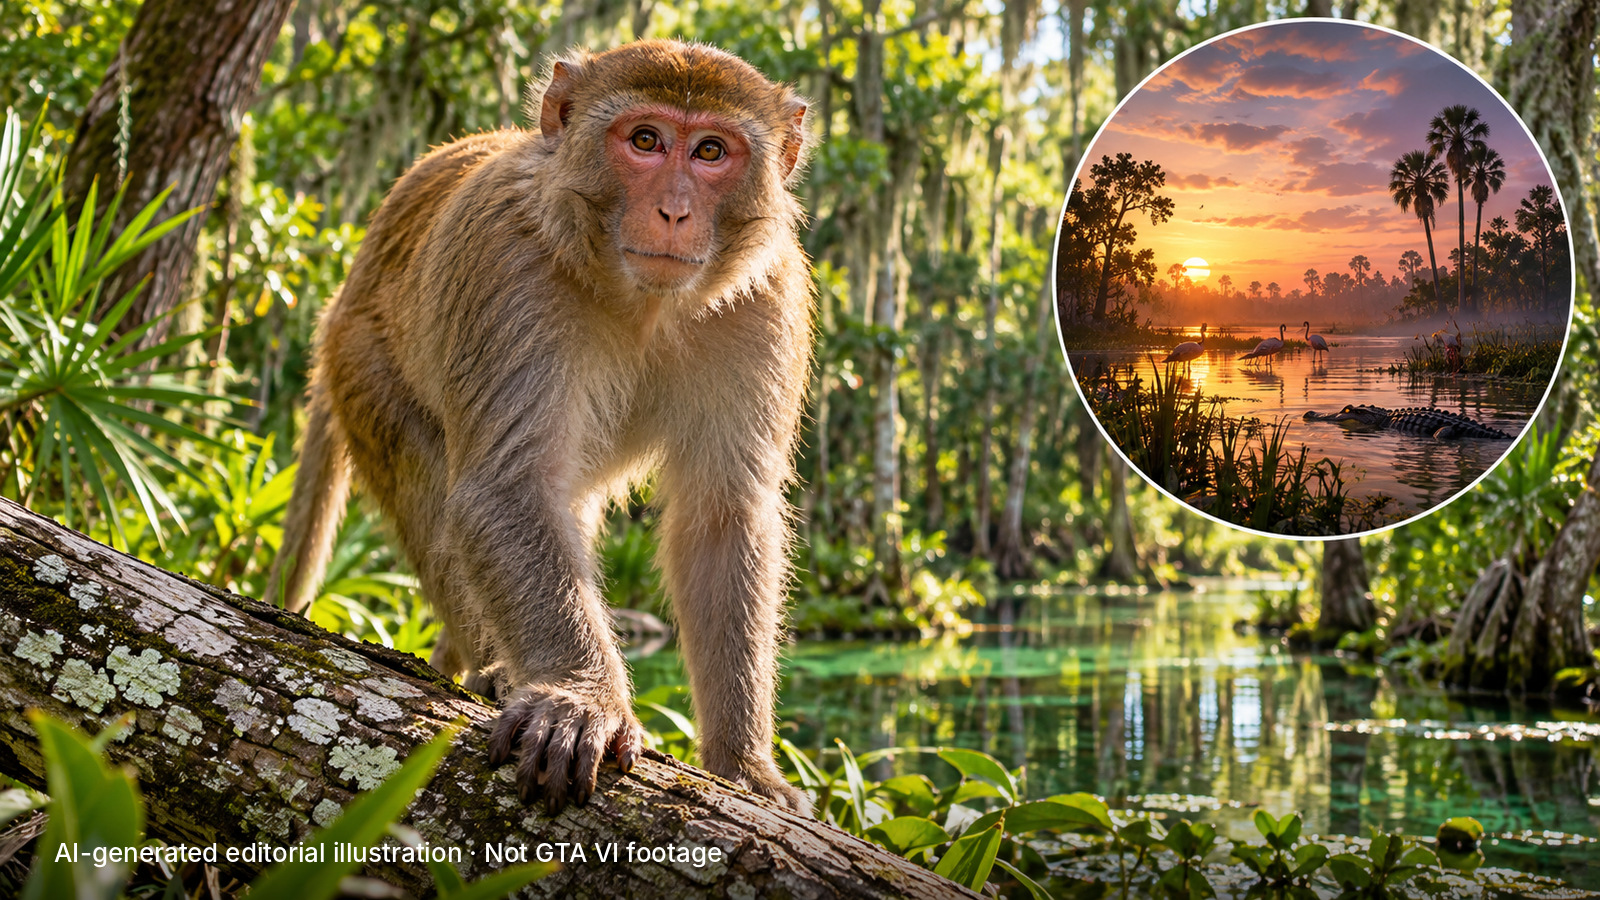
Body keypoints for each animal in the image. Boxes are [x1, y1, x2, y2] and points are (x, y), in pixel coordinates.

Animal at [266, 40, 813, 813]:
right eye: (645, 141)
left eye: (711, 151)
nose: (674, 211)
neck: (642, 301)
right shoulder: (506, 262)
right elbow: (507, 487)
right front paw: (580, 700)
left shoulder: (769, 299)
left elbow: (722, 518)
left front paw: (744, 764)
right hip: (360, 364)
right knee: (432, 477)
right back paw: (496, 666)